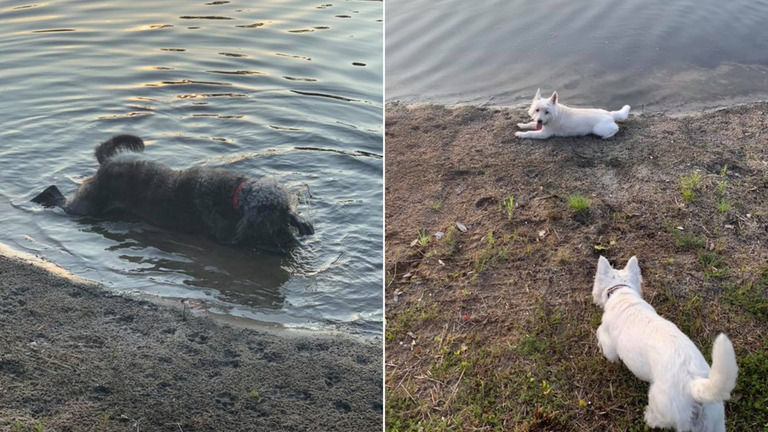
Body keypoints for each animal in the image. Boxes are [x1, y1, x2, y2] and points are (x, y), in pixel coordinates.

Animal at [32, 134, 316, 250]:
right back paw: (40, 198)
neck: (236, 197)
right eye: (275, 217)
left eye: (286, 212)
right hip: (86, 206)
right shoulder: (228, 235)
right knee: (57, 195)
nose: (288, 235)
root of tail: (107, 164)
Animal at [592, 256, 736, 432]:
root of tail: (693, 386)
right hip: (715, 421)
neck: (622, 293)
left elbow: (602, 337)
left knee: (658, 418)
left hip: (661, 403)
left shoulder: (609, 344)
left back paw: (648, 416)